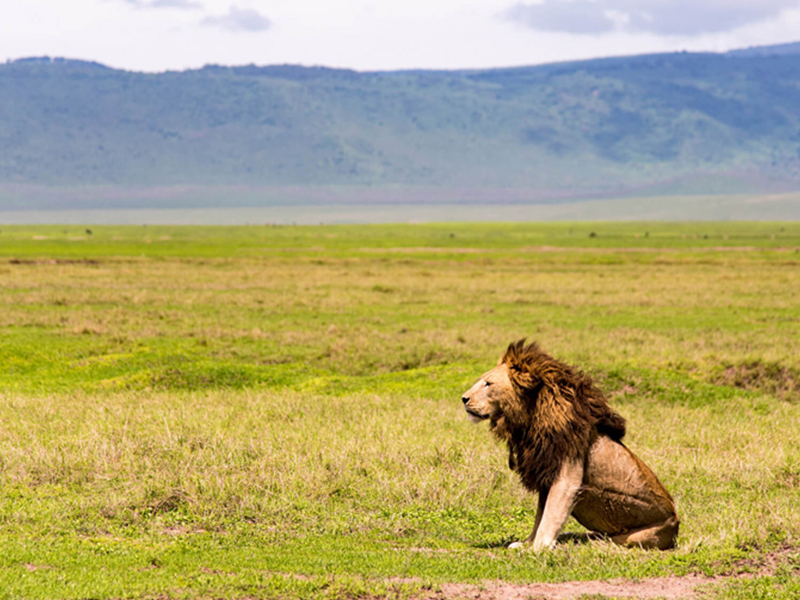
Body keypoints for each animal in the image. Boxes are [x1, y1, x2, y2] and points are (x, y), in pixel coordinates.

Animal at [460, 340, 680, 552]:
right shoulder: (545, 476)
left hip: (633, 537)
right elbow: (540, 516)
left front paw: (537, 548)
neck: (530, 419)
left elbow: (550, 515)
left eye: (488, 383)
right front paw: (528, 543)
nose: (463, 398)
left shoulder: (566, 477)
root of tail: (676, 526)